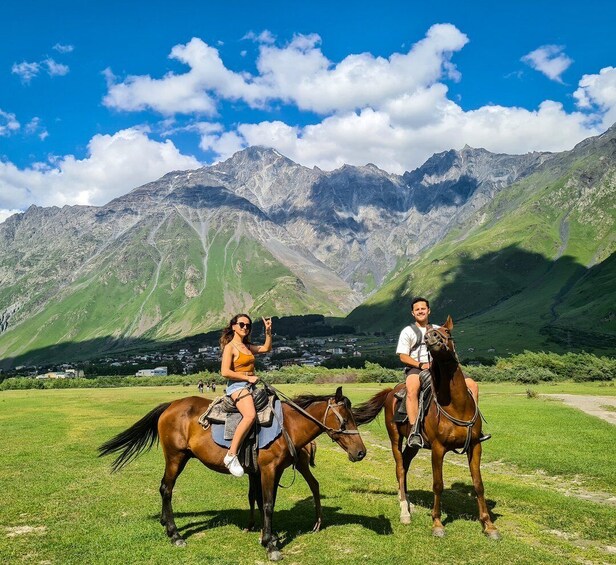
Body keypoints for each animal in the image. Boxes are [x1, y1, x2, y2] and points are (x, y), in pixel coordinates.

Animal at [98, 386, 364, 560]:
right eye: (345, 420)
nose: (361, 452)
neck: (286, 426)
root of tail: (170, 406)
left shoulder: (273, 472)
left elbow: (265, 502)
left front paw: (269, 537)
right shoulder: (268, 470)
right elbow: (267, 504)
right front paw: (271, 546)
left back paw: (166, 523)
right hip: (176, 457)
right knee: (166, 489)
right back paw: (175, 534)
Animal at [352, 318, 500, 536]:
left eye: (447, 331)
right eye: (429, 334)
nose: (432, 337)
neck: (456, 405)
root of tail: (391, 392)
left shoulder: (475, 446)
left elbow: (478, 484)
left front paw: (488, 525)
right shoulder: (438, 448)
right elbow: (437, 485)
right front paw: (437, 523)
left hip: (413, 445)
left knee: (405, 464)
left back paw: (406, 501)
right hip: (395, 438)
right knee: (400, 468)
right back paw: (404, 511)